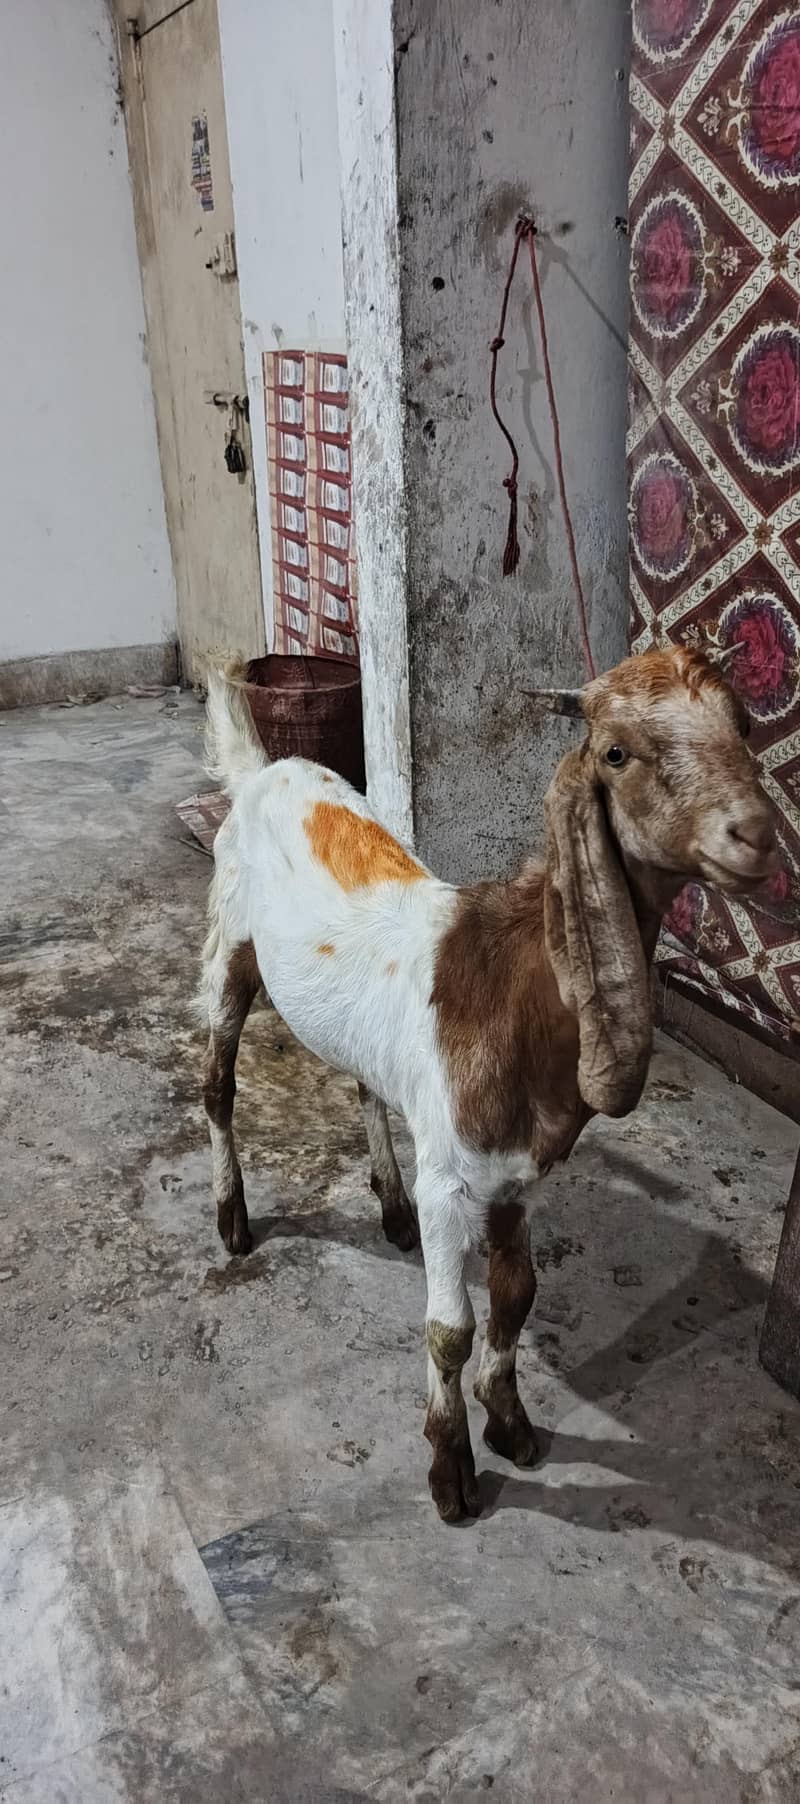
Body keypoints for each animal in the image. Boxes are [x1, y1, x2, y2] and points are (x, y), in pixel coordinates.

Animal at [198, 647, 776, 1522]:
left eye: (743, 724)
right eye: (617, 752)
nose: (758, 834)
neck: (513, 987)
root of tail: (267, 770)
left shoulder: (516, 1175)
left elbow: (517, 1293)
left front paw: (509, 1423)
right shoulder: (452, 1183)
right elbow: (451, 1329)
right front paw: (452, 1471)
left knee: (364, 1085)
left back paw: (390, 1206)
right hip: (231, 938)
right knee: (217, 1081)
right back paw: (233, 1218)